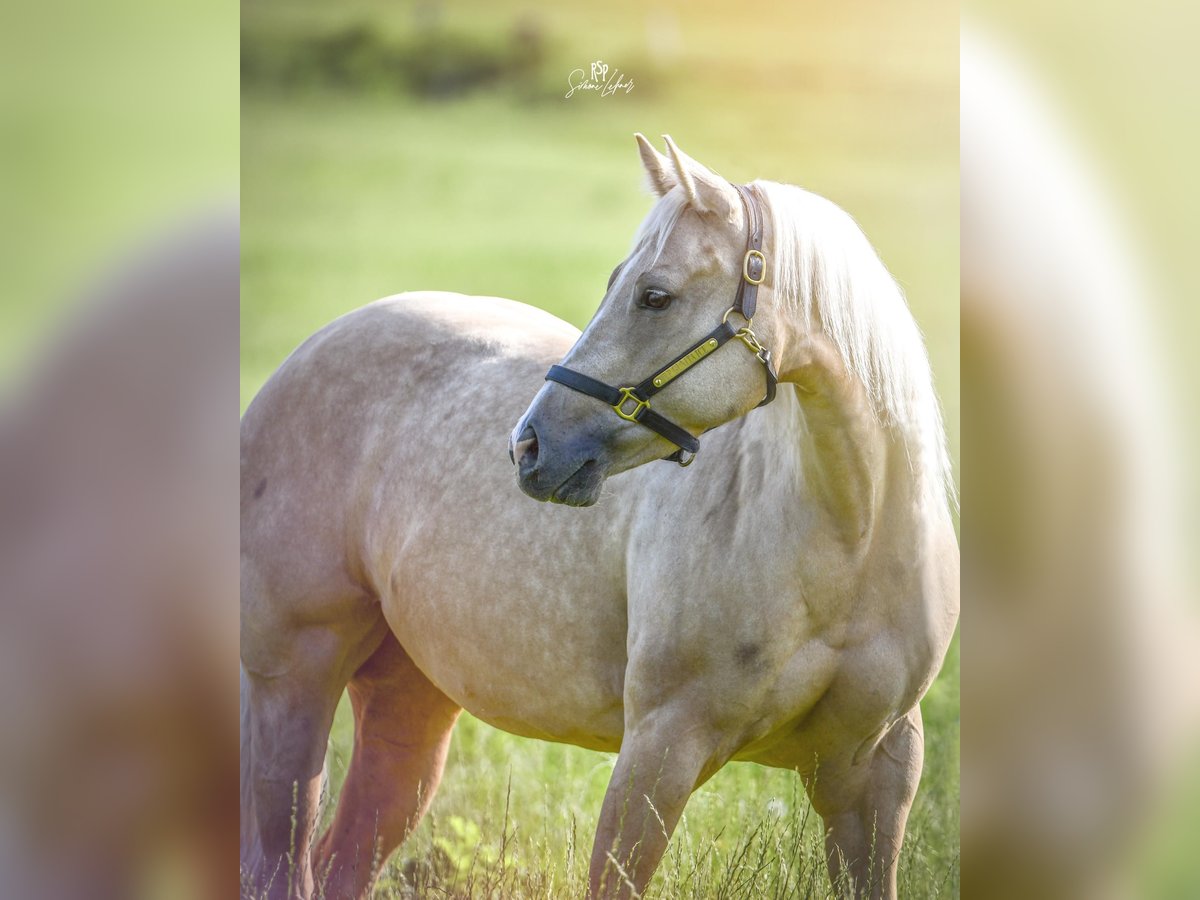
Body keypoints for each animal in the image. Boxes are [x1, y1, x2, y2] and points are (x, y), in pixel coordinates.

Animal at [241, 135, 955, 900]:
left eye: (654, 295)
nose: (528, 446)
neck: (850, 541)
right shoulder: (659, 750)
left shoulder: (876, 775)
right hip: (292, 683)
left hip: (409, 701)